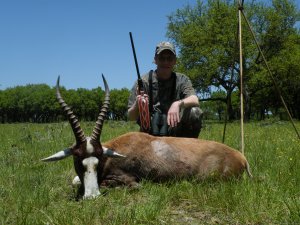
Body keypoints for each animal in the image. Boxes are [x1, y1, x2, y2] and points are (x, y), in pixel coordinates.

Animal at [41, 76, 251, 200]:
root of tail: (241, 157)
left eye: (99, 157)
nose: (92, 196)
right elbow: (75, 180)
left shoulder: (128, 180)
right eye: (77, 158)